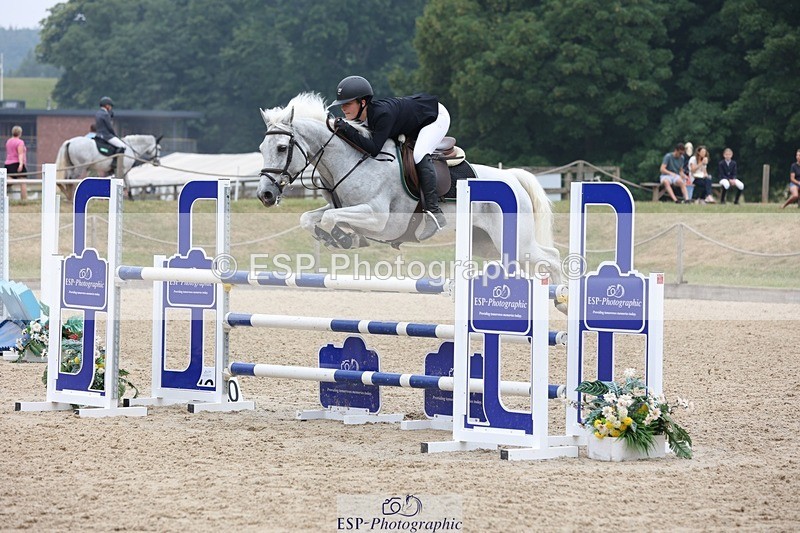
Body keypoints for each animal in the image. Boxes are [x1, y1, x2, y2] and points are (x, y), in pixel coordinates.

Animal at [255, 92, 563, 290]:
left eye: (281, 148)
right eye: (261, 148)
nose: (265, 195)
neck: (352, 159)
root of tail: (512, 178)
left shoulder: (380, 220)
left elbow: (332, 219)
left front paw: (343, 238)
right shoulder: (339, 207)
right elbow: (308, 218)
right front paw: (335, 237)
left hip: (515, 244)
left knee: (552, 259)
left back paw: (561, 301)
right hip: (487, 244)